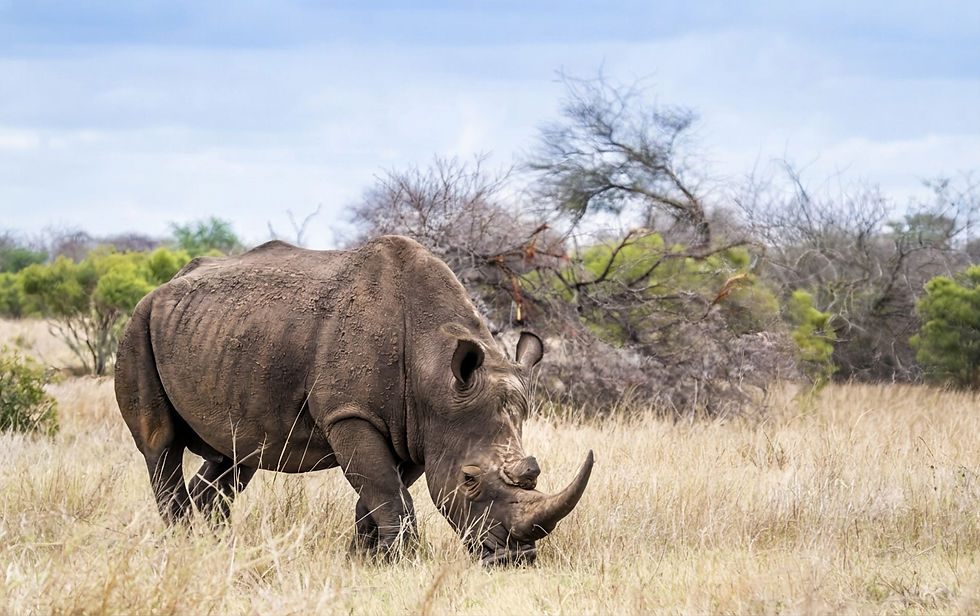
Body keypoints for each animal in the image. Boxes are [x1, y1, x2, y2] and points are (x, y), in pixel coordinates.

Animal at [114, 235, 593, 565]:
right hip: (138, 323)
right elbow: (385, 488)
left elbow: (383, 492)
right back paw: (180, 542)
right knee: (161, 445)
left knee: (235, 457)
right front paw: (402, 561)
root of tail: (167, 284)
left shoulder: (416, 428)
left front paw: (366, 559)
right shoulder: (349, 414)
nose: (514, 560)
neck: (435, 372)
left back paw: (210, 544)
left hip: (220, 340)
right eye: (470, 479)